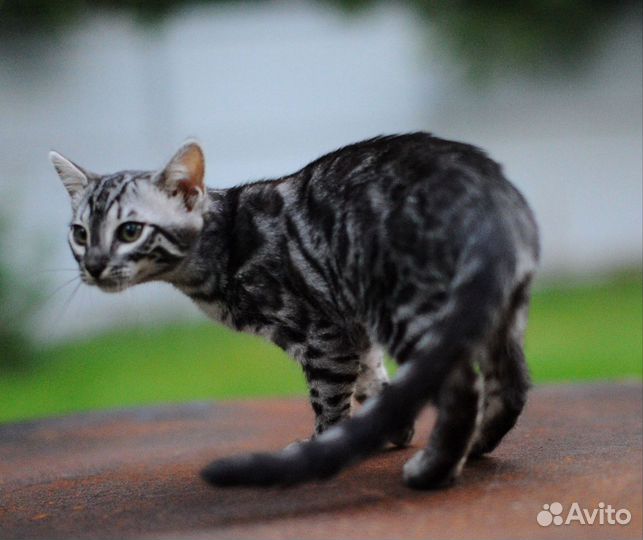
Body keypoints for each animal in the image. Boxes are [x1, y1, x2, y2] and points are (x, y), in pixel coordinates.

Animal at [50, 132, 540, 490]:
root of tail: (488, 192)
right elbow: (376, 383)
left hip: (403, 305)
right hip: (494, 310)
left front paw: (324, 449)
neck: (220, 245)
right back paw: (474, 447)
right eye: (80, 233)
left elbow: (329, 403)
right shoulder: (352, 323)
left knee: (462, 389)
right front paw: (389, 429)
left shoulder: (324, 335)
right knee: (511, 383)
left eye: (130, 231)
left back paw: (433, 471)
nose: (93, 265)